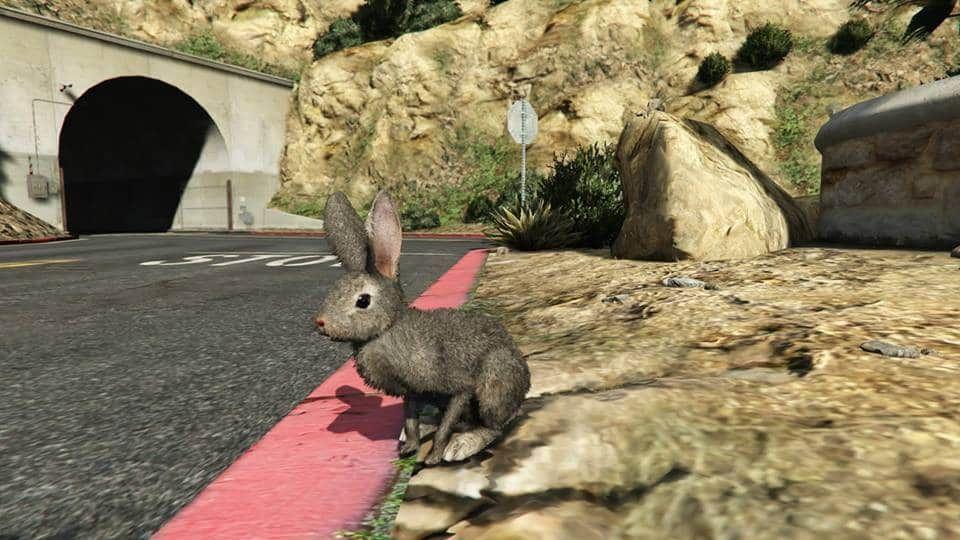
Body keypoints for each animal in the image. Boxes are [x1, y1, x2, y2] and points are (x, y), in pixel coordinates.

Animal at [314, 190, 531, 465]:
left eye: (362, 300)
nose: (320, 322)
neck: (389, 328)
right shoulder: (412, 394)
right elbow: (410, 421)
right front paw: (409, 447)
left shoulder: (458, 387)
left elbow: (446, 426)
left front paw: (435, 456)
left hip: (495, 380)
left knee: (494, 424)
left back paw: (463, 445)